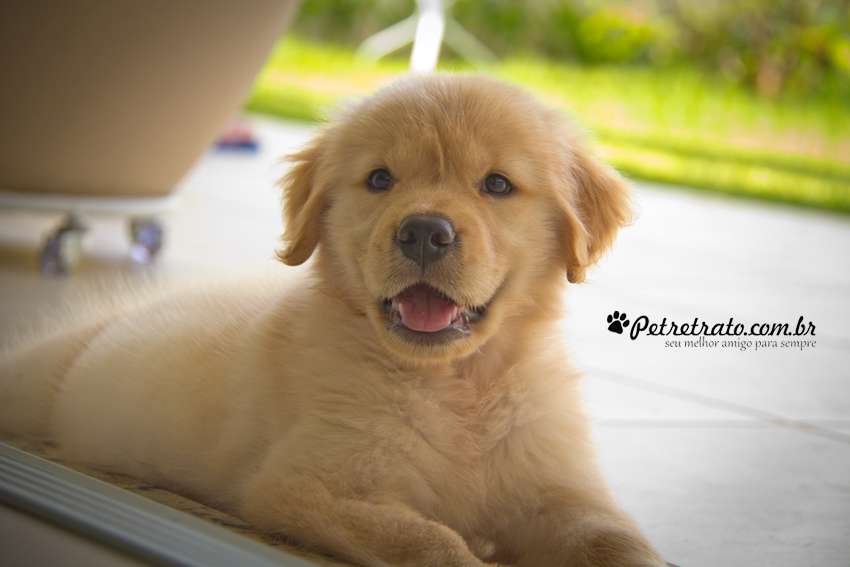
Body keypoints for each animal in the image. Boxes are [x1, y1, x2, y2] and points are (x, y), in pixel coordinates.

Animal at [0, 73, 664, 564]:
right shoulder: (304, 485)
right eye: (380, 179)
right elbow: (433, 542)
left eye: (497, 185)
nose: (425, 232)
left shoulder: (564, 494)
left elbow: (619, 542)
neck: (460, 386)